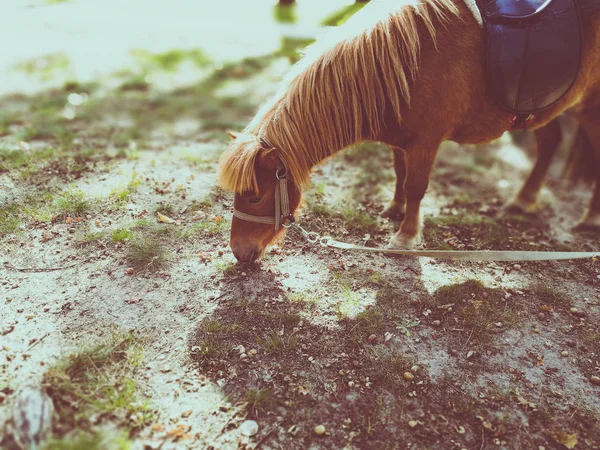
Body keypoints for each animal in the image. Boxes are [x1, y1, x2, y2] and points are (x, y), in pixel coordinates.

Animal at [218, 0, 600, 264]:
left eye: (254, 196)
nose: (238, 253)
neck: (408, 62)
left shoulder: (426, 143)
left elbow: (416, 185)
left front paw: (405, 237)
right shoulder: (402, 141)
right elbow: (399, 174)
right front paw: (394, 210)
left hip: (588, 106)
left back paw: (590, 218)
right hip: (545, 109)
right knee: (550, 144)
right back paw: (523, 201)